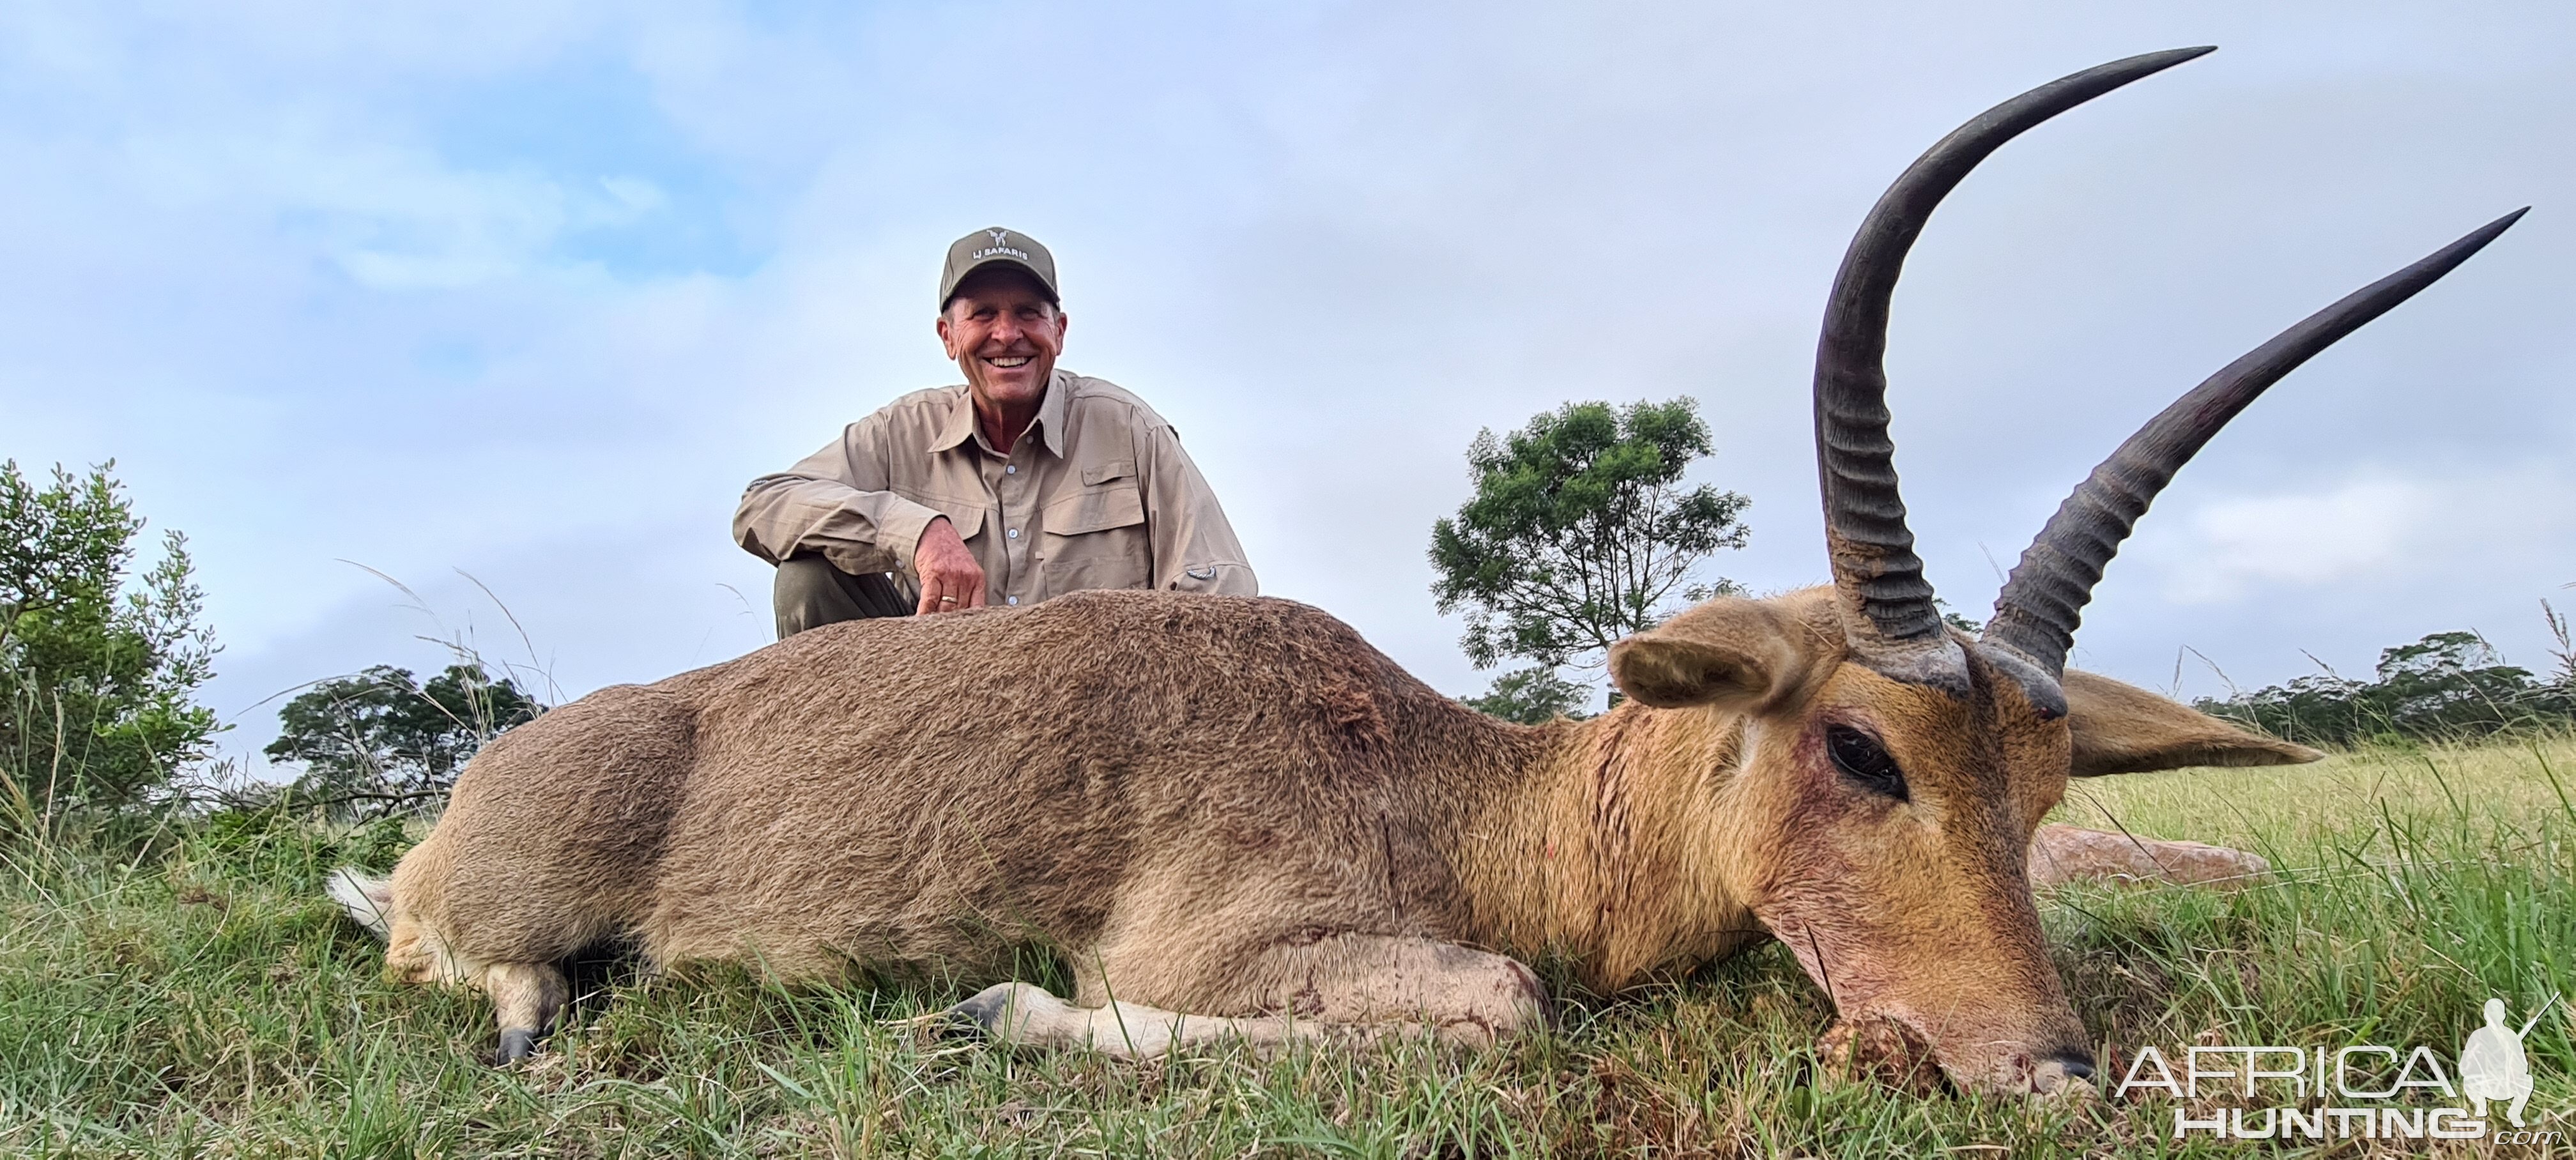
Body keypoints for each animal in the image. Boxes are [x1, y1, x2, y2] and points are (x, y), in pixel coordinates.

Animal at [327, 47, 2514, 1098]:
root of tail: (461, 801)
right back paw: (530, 1008)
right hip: (498, 911)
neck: (1452, 782)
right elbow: (1497, 1004)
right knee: (443, 956)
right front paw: (986, 1017)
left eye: (2048, 784)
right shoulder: (1207, 949)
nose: (2048, 1065)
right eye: (1863, 749)